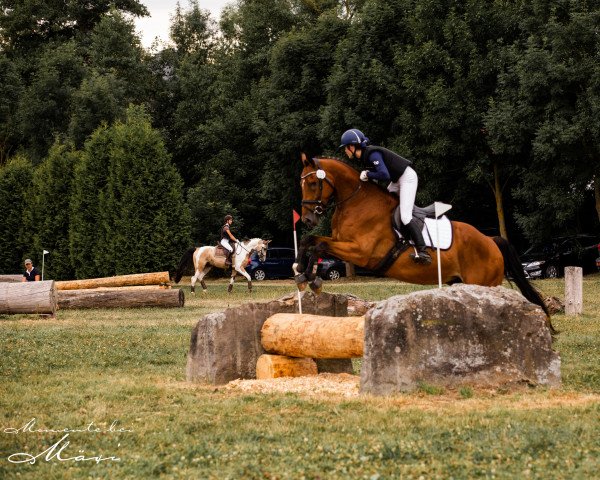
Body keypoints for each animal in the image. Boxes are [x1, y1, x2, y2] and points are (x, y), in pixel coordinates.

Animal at [296, 156, 552, 332]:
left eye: (312, 183)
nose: (307, 219)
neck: (356, 201)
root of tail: (490, 240)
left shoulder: (361, 252)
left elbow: (319, 247)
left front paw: (312, 278)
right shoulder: (341, 242)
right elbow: (310, 241)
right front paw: (301, 273)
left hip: (483, 284)